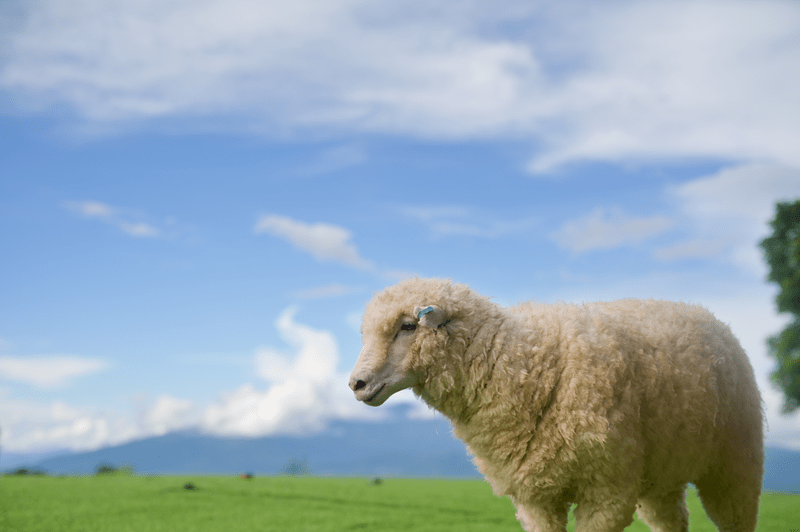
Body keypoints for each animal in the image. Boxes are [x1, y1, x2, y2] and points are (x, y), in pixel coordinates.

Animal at [349, 278, 763, 532]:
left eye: (408, 326)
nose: (356, 384)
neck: (519, 363)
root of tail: (706, 313)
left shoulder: (608, 490)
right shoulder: (536, 497)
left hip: (734, 463)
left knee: (735, 518)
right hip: (662, 474)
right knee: (672, 521)